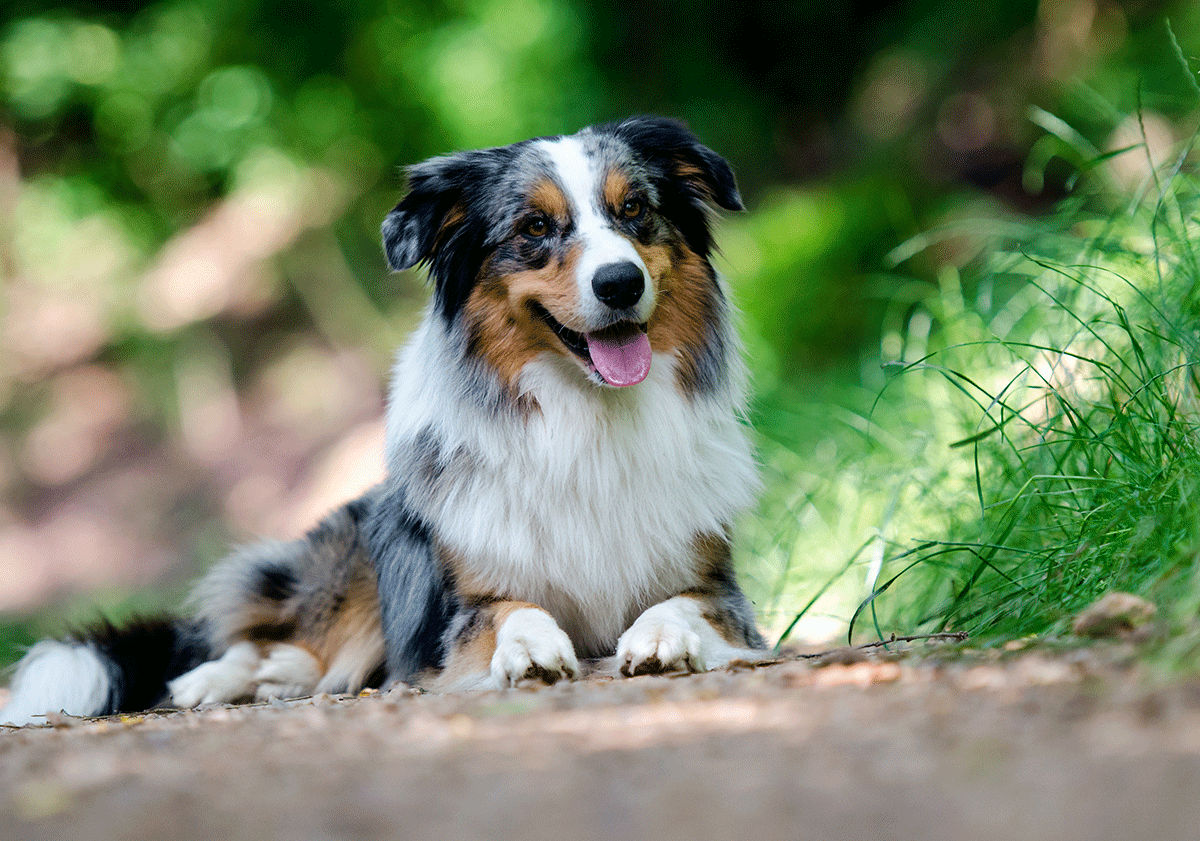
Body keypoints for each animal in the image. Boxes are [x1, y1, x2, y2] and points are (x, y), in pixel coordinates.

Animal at [0, 114, 763, 724]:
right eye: (535, 228)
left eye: (635, 209)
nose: (620, 283)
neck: (590, 417)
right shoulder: (464, 606)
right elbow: (510, 610)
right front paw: (529, 643)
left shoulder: (720, 590)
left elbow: (685, 604)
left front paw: (660, 635)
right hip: (362, 543)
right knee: (265, 628)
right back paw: (222, 677)